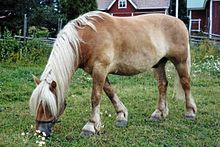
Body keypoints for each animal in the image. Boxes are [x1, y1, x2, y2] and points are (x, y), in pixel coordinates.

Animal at [29, 11, 198, 137]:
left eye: (47, 105)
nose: (41, 133)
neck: (86, 38)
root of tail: (180, 22)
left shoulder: (100, 69)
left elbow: (95, 97)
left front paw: (90, 126)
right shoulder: (97, 71)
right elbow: (110, 92)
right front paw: (121, 116)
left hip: (180, 62)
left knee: (186, 83)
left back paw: (190, 112)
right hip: (159, 64)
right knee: (162, 85)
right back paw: (158, 113)